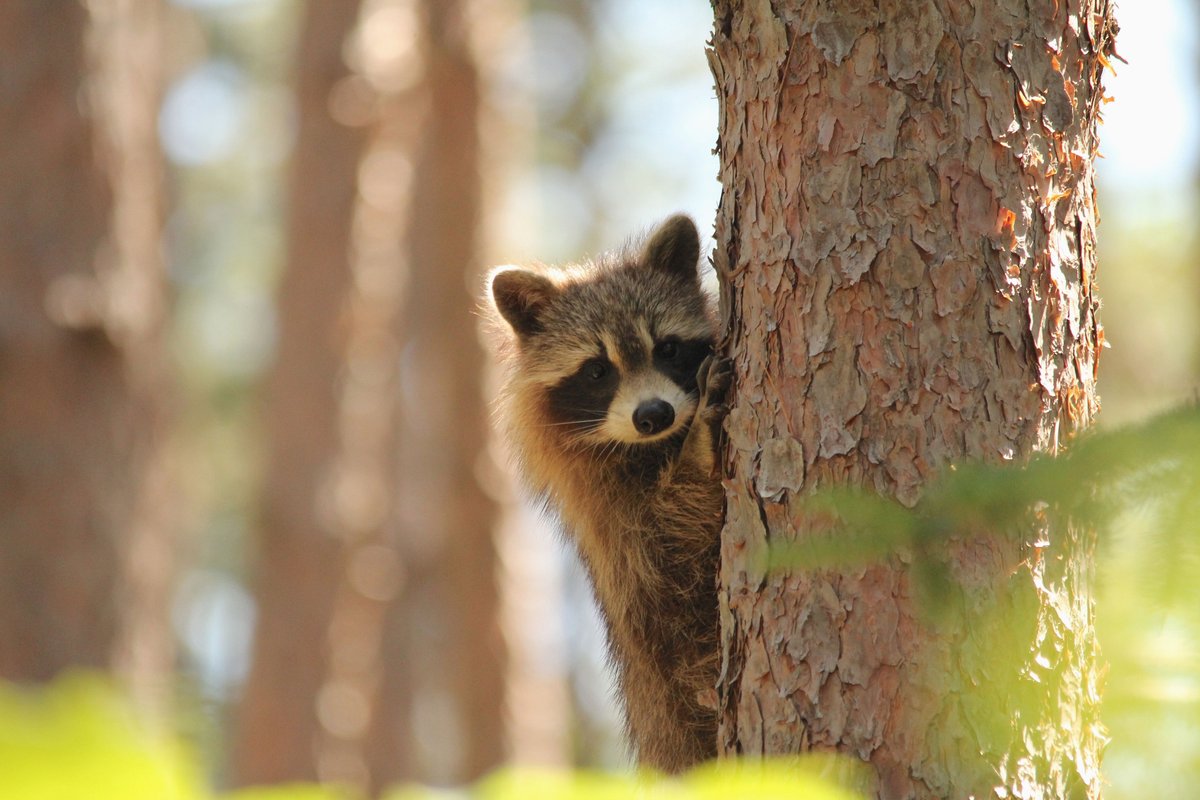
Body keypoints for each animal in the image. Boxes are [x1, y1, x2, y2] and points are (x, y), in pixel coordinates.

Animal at [482, 215, 724, 772]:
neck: (653, 447)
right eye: (598, 370)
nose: (653, 414)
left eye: (667, 348)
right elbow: (670, 549)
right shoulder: (613, 521)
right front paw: (698, 448)